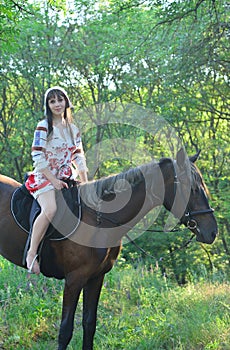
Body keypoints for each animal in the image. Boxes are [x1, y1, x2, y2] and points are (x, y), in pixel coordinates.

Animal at [0, 149, 217, 348]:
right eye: (193, 189)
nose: (212, 232)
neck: (99, 219)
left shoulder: (96, 277)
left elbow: (89, 324)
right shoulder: (74, 280)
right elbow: (65, 331)